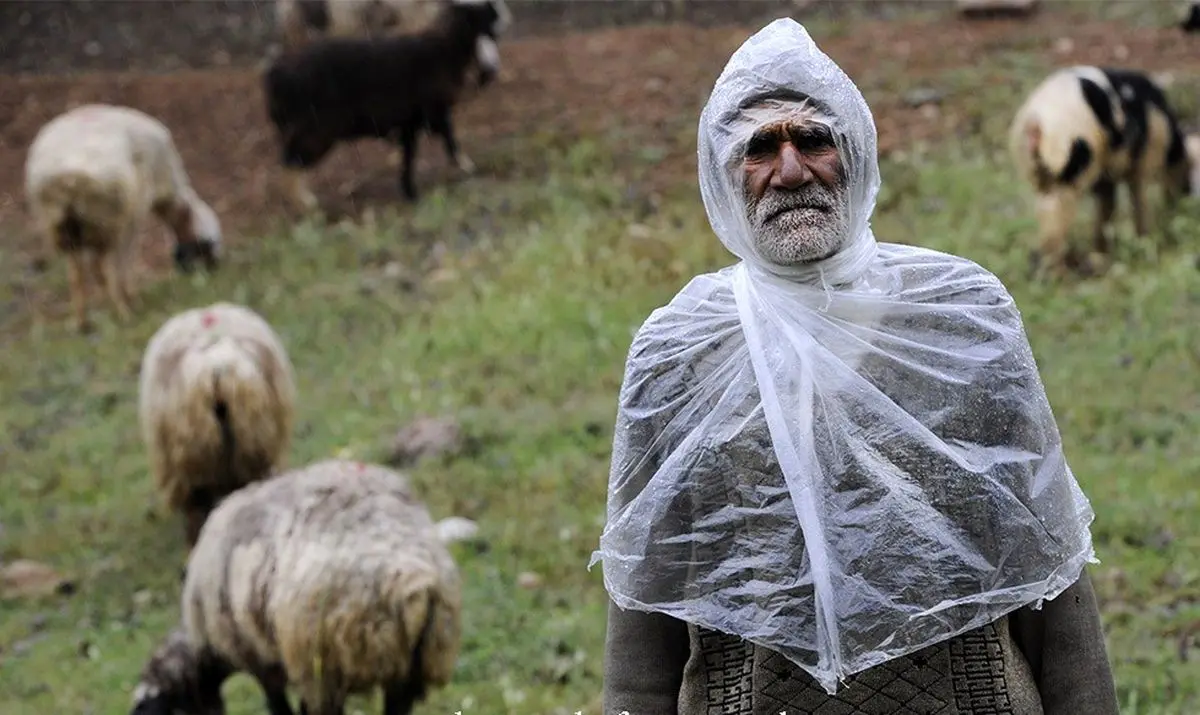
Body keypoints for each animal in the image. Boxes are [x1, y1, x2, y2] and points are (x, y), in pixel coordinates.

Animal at [22, 102, 224, 333]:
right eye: (209, 243)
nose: (216, 267)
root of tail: (65, 178)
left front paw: (108, 300)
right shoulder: (135, 213)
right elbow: (127, 258)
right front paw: (132, 296)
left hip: (64, 226)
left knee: (77, 273)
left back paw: (83, 322)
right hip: (104, 219)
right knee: (102, 267)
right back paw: (123, 311)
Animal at [127, 458, 463, 715]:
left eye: (150, 707)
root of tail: (415, 581)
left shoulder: (261, 659)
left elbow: (279, 706)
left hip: (324, 662)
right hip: (412, 667)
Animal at [265, 0, 513, 211]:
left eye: (494, 30)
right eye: (482, 21)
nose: (491, 69)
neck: (443, 51)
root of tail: (275, 75)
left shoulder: (410, 120)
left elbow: (411, 154)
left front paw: (409, 191)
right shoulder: (431, 110)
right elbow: (448, 138)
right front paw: (464, 166)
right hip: (315, 129)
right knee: (291, 160)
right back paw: (305, 203)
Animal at [1008, 65, 1195, 275]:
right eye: (1188, 171)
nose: (1184, 196)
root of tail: (1035, 126)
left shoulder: (1105, 175)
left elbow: (1106, 206)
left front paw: (1101, 256)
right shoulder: (1145, 161)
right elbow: (1139, 200)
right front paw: (1144, 243)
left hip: (1038, 171)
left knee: (1045, 210)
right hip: (1068, 167)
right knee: (1057, 214)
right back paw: (1059, 273)